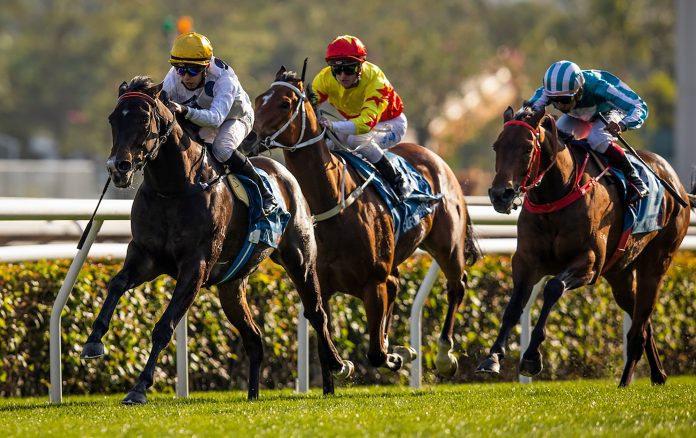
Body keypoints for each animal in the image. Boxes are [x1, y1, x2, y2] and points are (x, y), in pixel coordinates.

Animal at [81, 76, 354, 404]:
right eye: (113, 118)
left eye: (144, 118)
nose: (117, 167)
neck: (173, 188)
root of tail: (286, 175)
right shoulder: (145, 255)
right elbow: (116, 284)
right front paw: (93, 341)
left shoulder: (195, 266)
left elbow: (164, 326)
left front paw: (139, 387)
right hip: (231, 287)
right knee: (254, 339)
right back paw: (252, 394)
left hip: (300, 261)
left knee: (316, 313)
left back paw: (337, 366)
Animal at [242, 67, 482, 376]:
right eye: (259, 99)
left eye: (284, 103)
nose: (248, 140)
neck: (332, 203)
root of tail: (434, 158)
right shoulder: (323, 284)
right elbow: (326, 338)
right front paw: (358, 360)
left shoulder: (372, 283)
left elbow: (376, 354)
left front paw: (395, 356)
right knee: (397, 283)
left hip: (448, 245)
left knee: (456, 286)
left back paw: (443, 355)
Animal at [478, 107, 696, 386]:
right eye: (496, 146)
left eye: (527, 148)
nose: (500, 195)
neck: (556, 195)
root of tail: (679, 188)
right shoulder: (526, 260)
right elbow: (514, 305)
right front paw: (492, 358)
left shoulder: (589, 261)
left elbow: (553, 287)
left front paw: (531, 356)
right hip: (620, 275)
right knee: (642, 323)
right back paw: (657, 375)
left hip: (656, 264)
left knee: (640, 323)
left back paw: (626, 381)